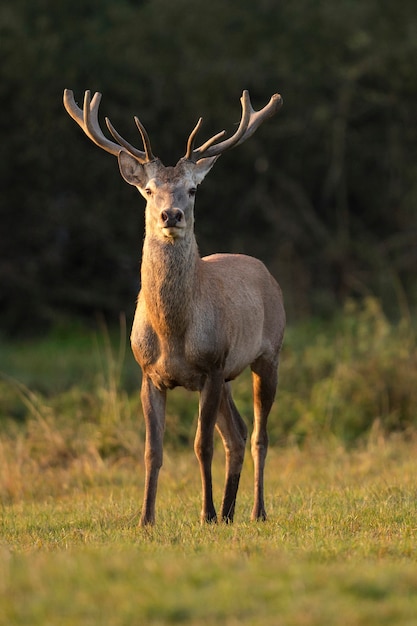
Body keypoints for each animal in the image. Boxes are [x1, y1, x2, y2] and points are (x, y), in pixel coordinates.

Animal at [63, 88, 284, 524]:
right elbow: (153, 450)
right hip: (229, 376)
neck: (172, 332)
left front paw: (205, 514)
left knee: (257, 436)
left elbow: (201, 445)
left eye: (193, 189)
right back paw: (230, 511)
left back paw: (255, 511)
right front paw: (145, 519)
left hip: (268, 354)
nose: (171, 214)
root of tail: (266, 272)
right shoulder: (149, 373)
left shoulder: (212, 364)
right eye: (149, 190)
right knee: (236, 434)